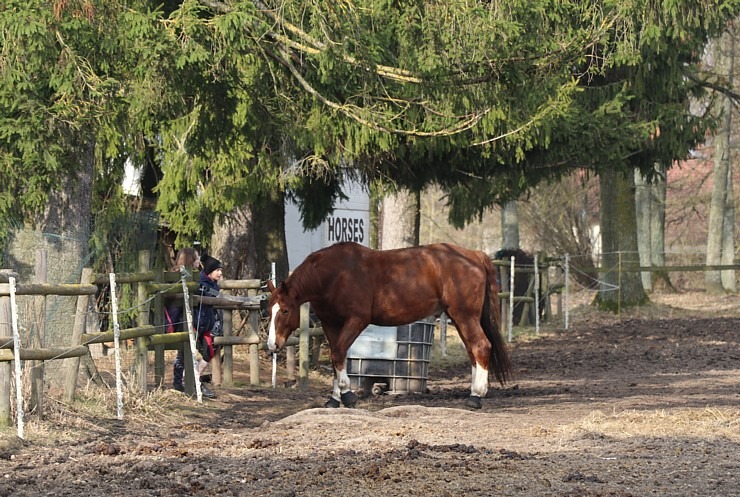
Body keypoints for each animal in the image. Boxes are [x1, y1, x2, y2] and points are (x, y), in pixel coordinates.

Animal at [268, 240, 516, 406]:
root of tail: (474, 255)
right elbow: (338, 357)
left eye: (285, 310)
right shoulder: (331, 324)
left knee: (481, 346)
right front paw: (335, 398)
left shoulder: (357, 320)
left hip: (465, 315)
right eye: (269, 311)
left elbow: (338, 354)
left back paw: (476, 396)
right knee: (473, 351)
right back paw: (475, 391)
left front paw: (347, 395)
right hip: (459, 317)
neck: (335, 275)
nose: (272, 344)